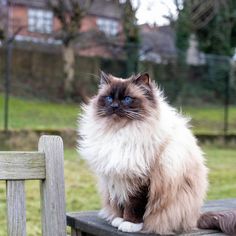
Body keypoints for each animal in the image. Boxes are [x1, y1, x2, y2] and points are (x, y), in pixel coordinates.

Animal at [79, 72, 208, 234]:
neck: (118, 132)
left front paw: (129, 224)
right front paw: (118, 220)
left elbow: (134, 206)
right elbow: (120, 204)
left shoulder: (142, 180)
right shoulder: (116, 177)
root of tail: (195, 218)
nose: (114, 106)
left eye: (127, 99)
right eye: (109, 98)